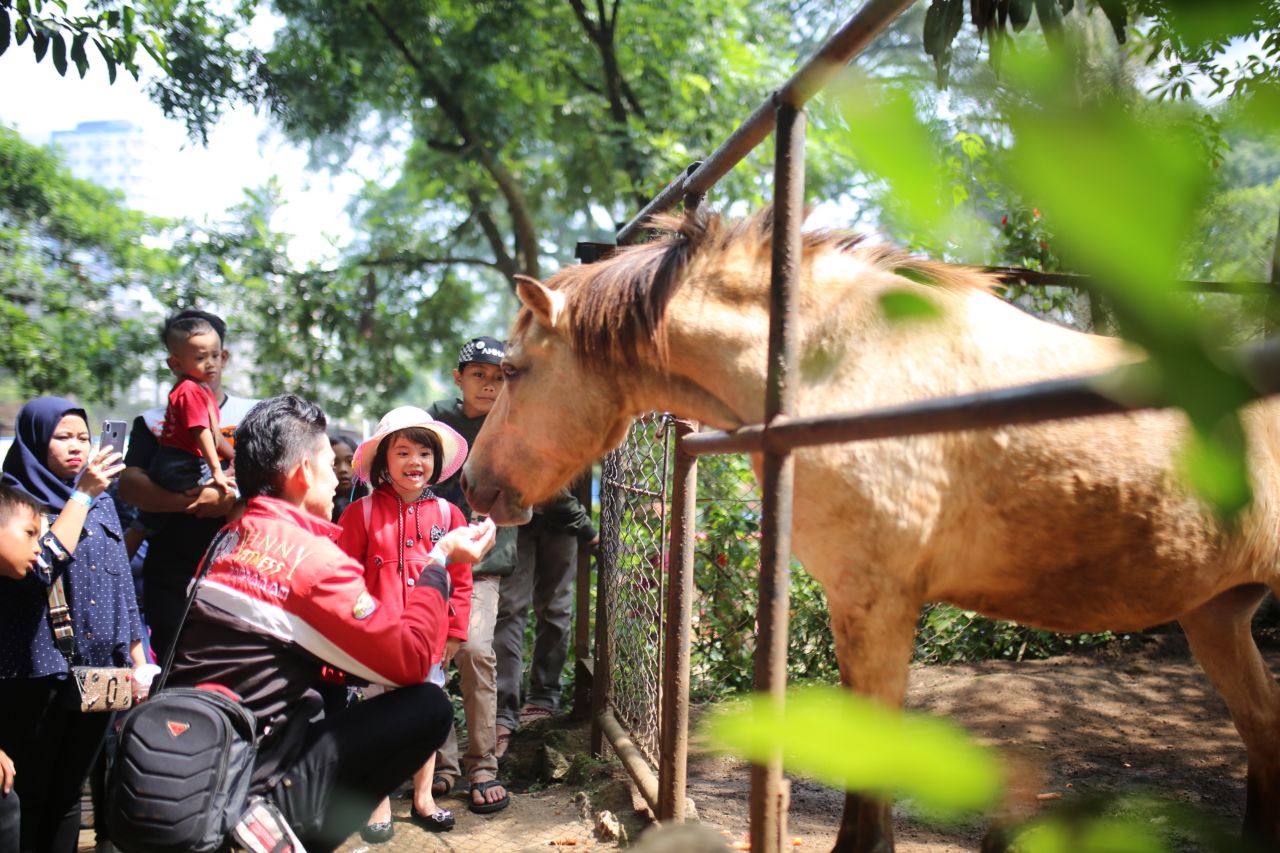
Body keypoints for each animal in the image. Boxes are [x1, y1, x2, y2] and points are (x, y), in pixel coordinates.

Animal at [465, 207, 1280, 850]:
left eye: (513, 369)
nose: (472, 484)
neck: (841, 367)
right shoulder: (854, 602)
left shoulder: (879, 601)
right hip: (1215, 615)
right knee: (1263, 730)